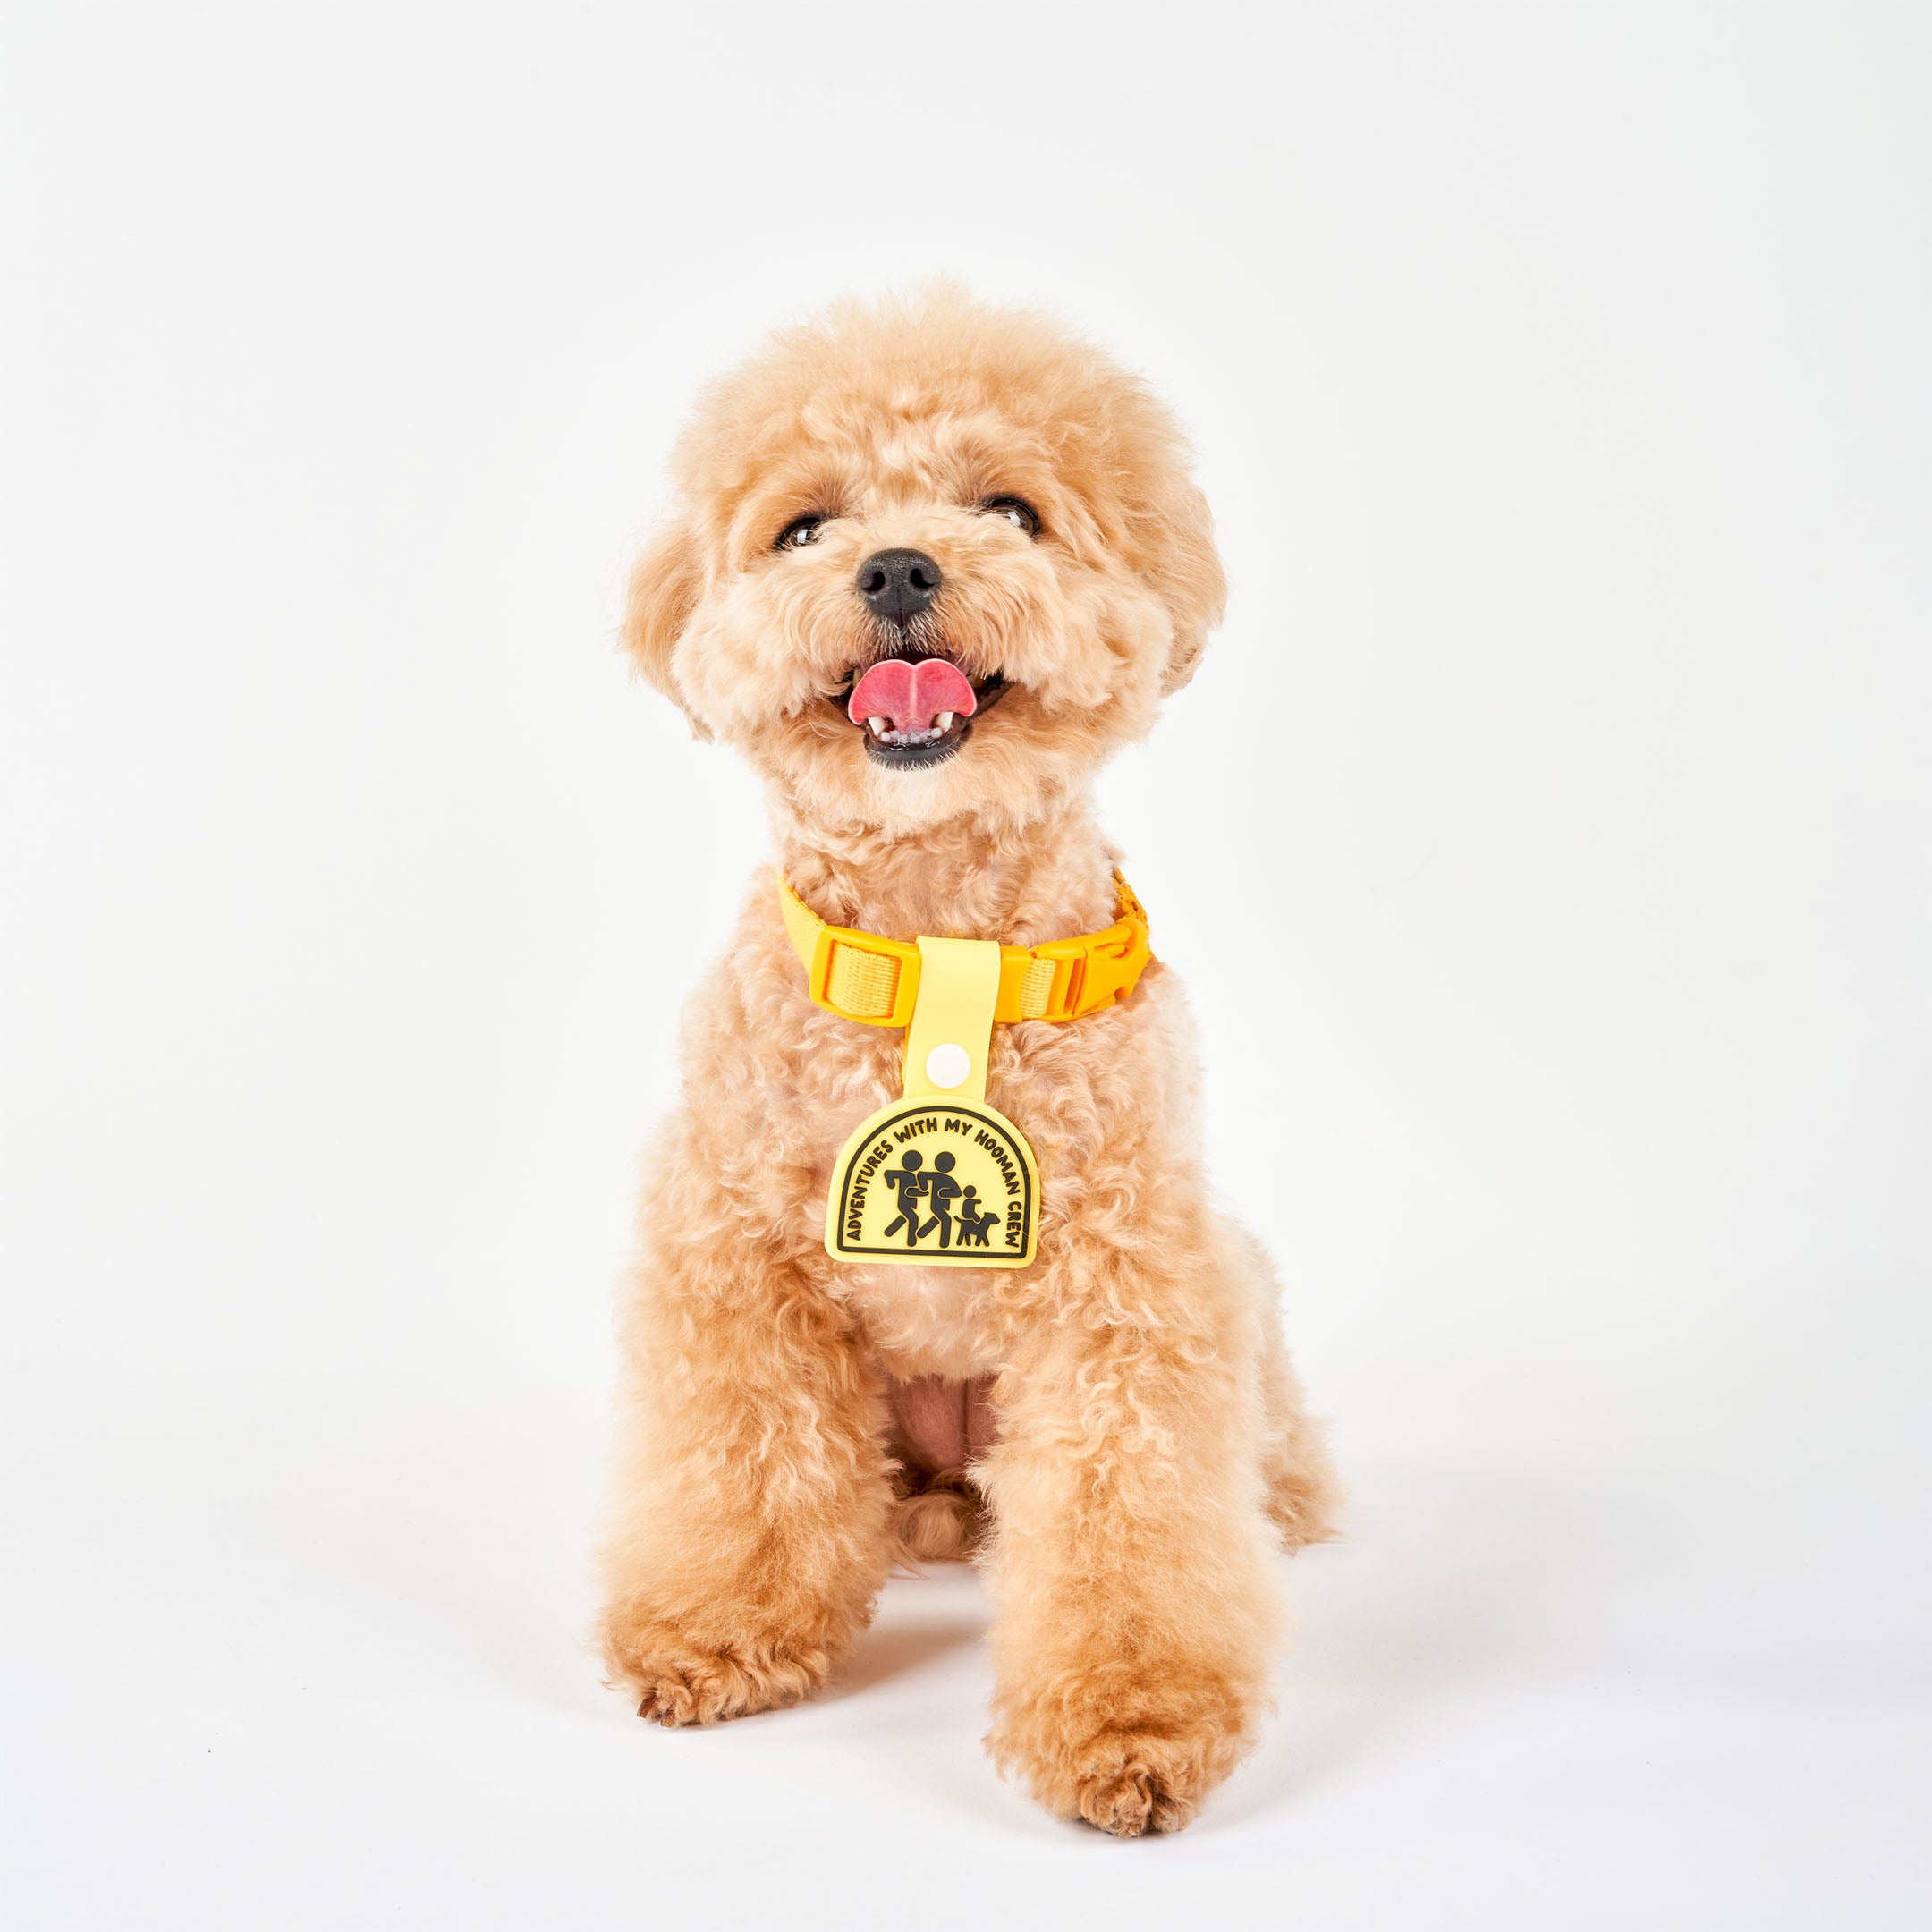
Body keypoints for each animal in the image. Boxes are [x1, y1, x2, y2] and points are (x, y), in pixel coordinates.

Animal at [595, 280, 1336, 1831]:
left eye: (1011, 508)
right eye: (801, 529)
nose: (894, 568)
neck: (937, 947)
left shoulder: (1131, 1287)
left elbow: (1129, 1516)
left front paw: (1130, 1725)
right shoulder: (730, 1260)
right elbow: (742, 1464)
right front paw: (717, 1632)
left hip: (1233, 1278)